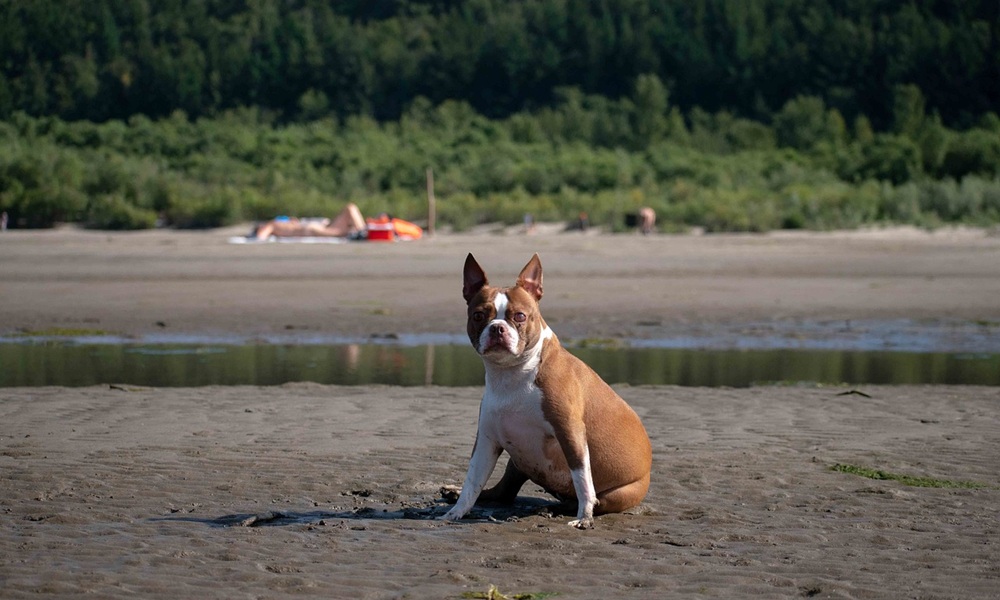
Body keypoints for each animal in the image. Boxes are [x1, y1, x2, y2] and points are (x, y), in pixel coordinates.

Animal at [442, 253, 652, 528]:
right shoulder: (487, 441)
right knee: (502, 492)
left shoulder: (570, 433)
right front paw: (457, 511)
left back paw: (564, 507)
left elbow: (583, 479)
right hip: (518, 460)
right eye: (478, 316)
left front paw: (584, 516)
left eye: (520, 316)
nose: (497, 327)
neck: (512, 375)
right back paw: (454, 494)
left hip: (619, 493)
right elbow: (472, 481)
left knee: (591, 498)